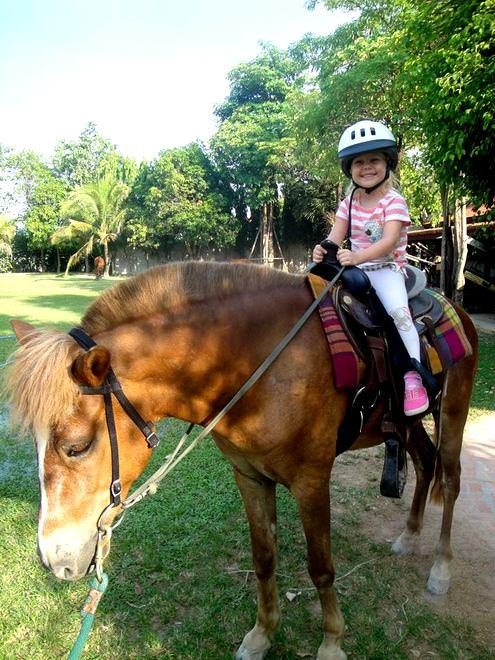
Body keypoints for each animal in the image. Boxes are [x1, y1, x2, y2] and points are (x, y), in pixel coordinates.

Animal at [2, 260, 476, 656]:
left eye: (77, 446)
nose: (52, 561)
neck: (260, 364)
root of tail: (456, 308)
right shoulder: (248, 475)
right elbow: (264, 558)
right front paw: (262, 635)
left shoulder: (311, 481)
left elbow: (321, 567)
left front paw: (331, 642)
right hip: (408, 425)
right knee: (424, 463)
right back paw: (410, 536)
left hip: (452, 411)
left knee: (450, 480)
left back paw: (441, 568)